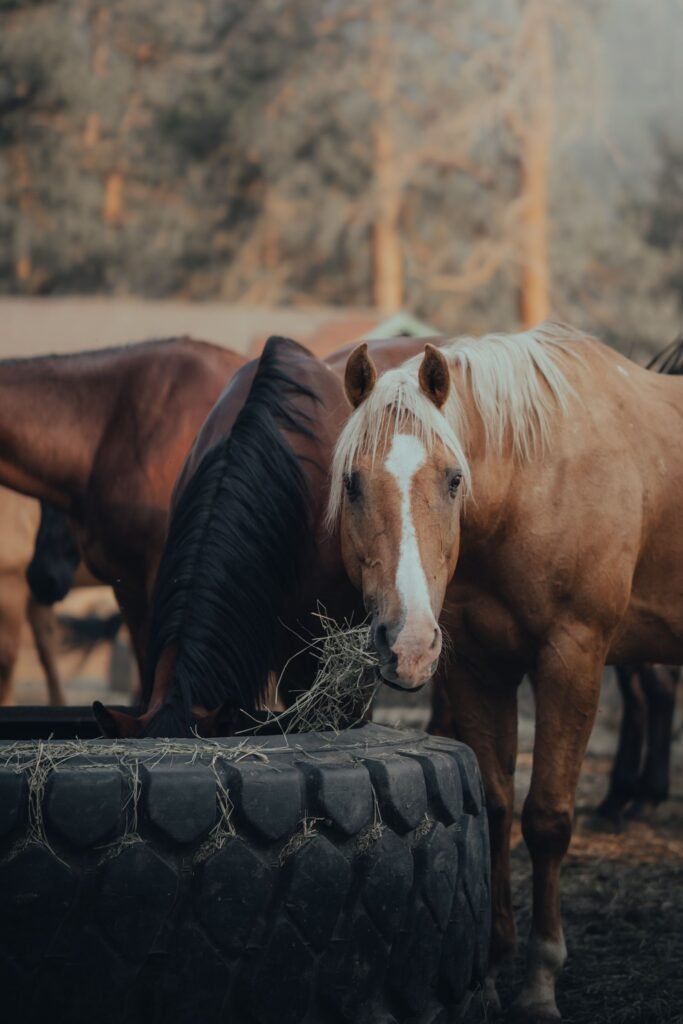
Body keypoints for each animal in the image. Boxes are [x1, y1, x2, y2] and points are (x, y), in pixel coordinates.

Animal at [328, 323, 683, 1021]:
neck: (540, 479)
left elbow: (546, 817)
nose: (408, 644)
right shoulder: (478, 667)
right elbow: (493, 806)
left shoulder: (572, 657)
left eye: (453, 479)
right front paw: (491, 971)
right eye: (353, 483)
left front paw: (541, 981)